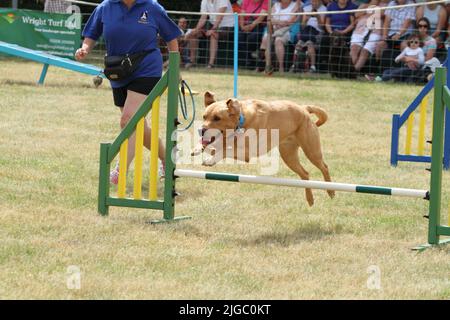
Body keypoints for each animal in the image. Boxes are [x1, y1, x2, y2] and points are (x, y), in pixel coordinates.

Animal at [192, 91, 336, 206]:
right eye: (204, 117)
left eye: (217, 118)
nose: (200, 130)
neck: (241, 121)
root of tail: (303, 108)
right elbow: (214, 146)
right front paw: (197, 149)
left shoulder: (247, 152)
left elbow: (224, 150)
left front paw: (210, 160)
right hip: (289, 156)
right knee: (305, 174)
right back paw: (310, 199)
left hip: (311, 151)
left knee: (324, 167)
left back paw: (331, 191)